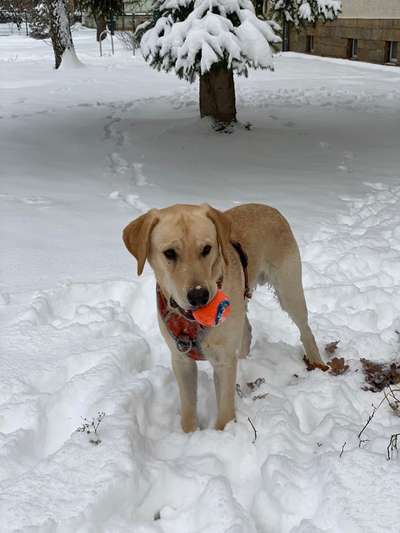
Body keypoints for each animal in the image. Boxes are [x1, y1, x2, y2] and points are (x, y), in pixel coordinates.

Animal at [122, 204, 328, 432]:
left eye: (206, 249)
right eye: (169, 253)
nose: (199, 295)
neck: (193, 323)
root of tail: (271, 208)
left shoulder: (224, 362)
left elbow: (225, 408)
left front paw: (224, 433)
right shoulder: (181, 360)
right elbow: (188, 408)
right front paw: (190, 434)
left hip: (288, 291)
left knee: (305, 330)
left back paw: (317, 363)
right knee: (247, 330)